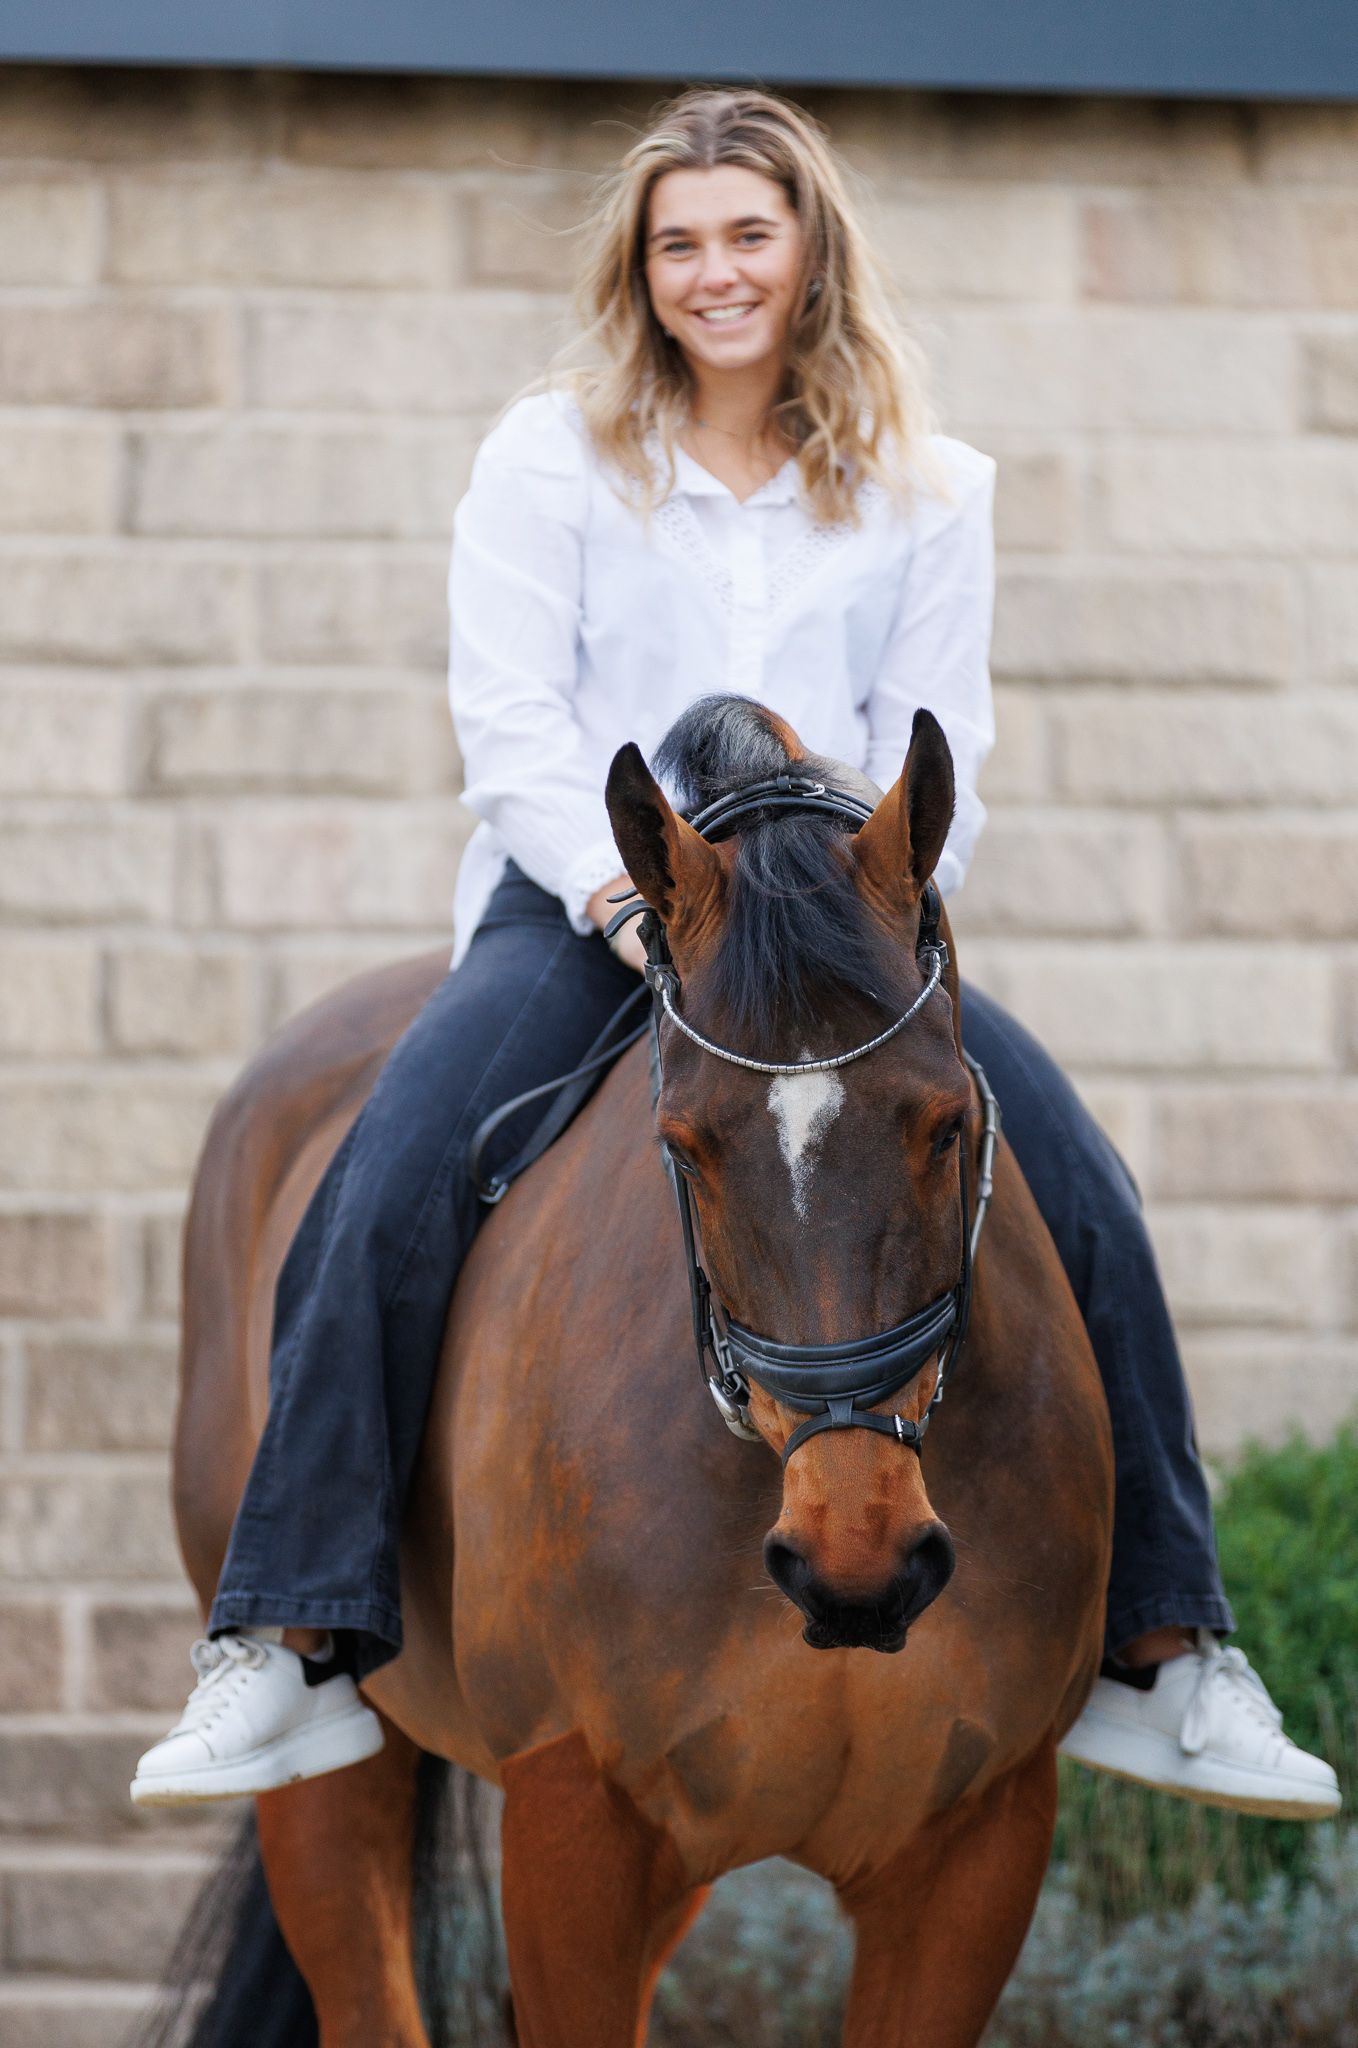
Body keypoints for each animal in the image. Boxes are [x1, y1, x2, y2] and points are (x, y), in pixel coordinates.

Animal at [165, 697, 1112, 2048]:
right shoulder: (572, 1819)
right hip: (332, 1773)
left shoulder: (979, 1841)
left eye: (945, 1125)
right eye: (684, 1142)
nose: (856, 1561)